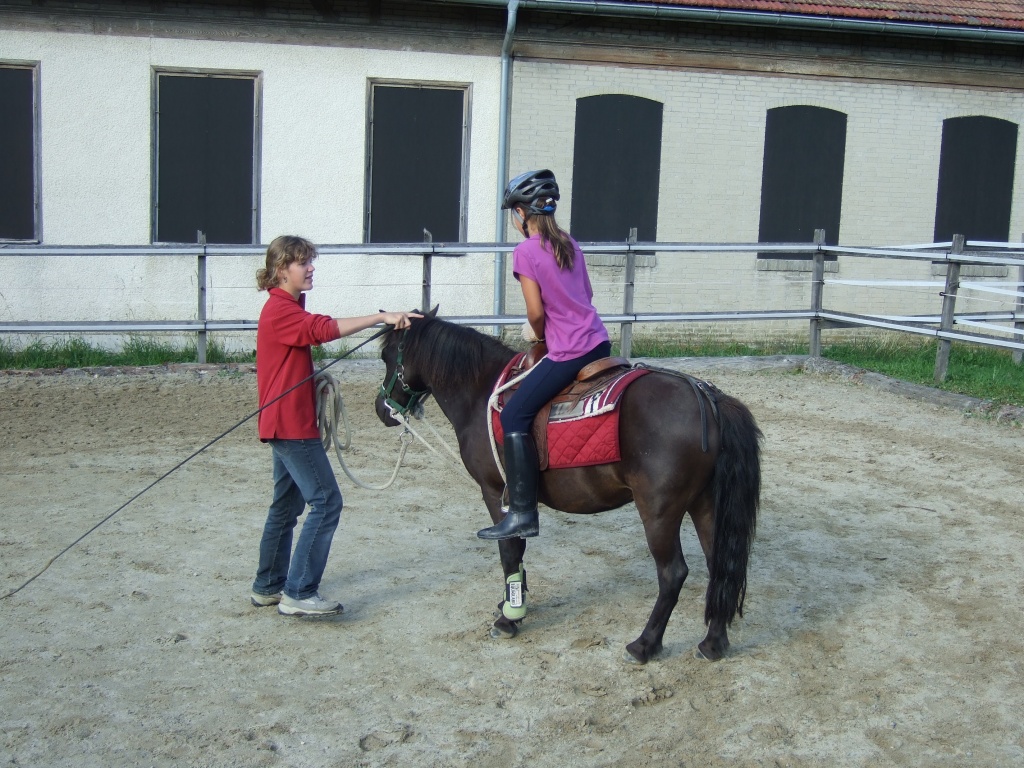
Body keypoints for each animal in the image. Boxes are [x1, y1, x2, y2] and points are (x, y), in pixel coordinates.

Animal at [375, 309, 762, 663]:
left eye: (386, 355)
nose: (381, 408)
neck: (481, 392)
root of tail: (708, 398)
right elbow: (517, 551)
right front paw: (513, 603)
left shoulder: (495, 494)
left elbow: (509, 551)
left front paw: (509, 617)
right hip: (705, 504)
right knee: (721, 565)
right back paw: (713, 643)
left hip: (659, 513)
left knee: (673, 574)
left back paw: (644, 645)